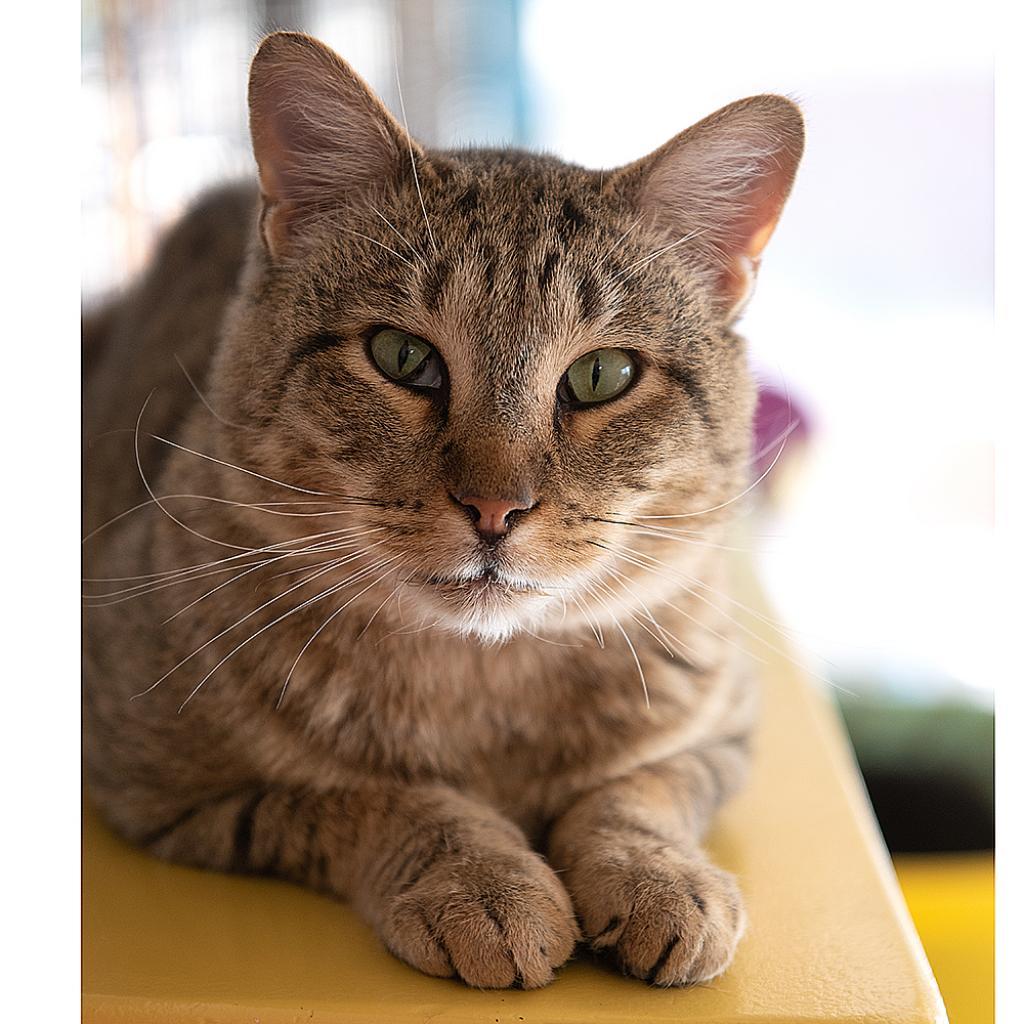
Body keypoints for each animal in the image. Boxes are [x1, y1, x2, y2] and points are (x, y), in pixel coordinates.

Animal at [81, 32, 798, 991]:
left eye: (601, 375)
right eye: (401, 356)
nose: (495, 507)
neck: (484, 688)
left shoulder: (721, 731)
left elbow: (637, 792)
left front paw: (658, 876)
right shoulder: (161, 784)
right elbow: (391, 801)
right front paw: (485, 883)